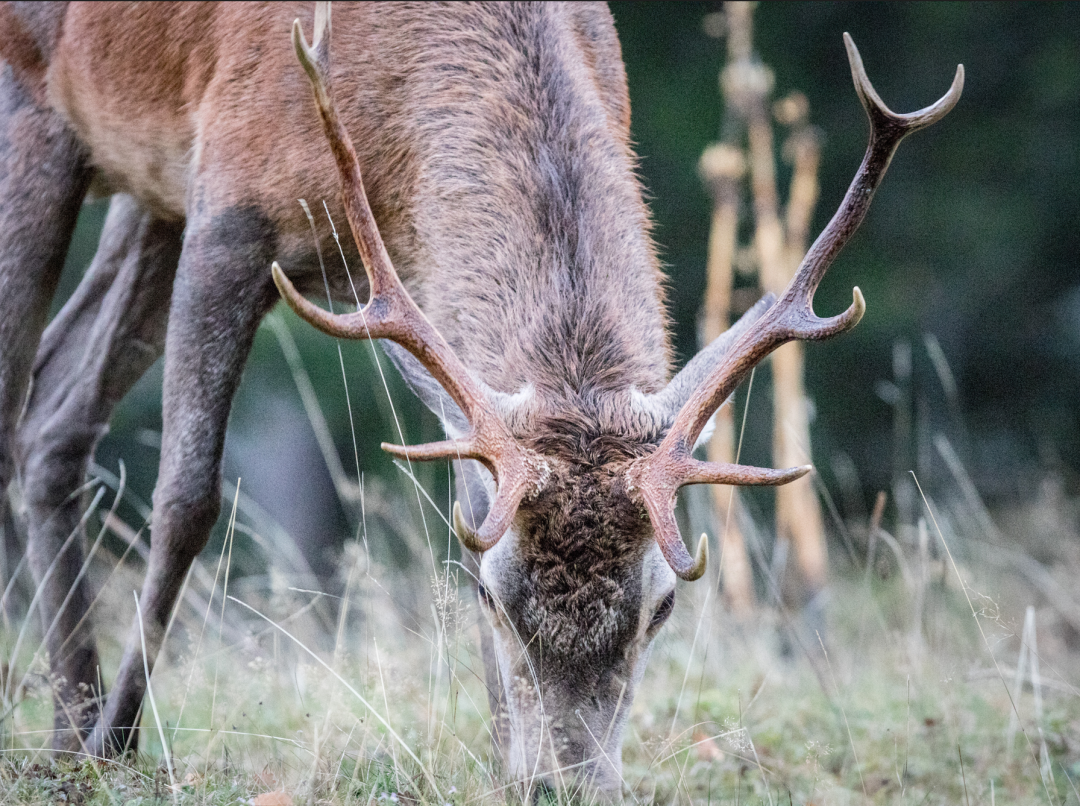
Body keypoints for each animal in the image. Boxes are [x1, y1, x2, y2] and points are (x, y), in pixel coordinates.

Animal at [0, 0, 961, 794]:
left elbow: (466, 497)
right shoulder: (231, 197)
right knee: (22, 390)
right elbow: (188, 499)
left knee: (55, 409)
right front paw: (120, 746)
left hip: (142, 190)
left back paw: (64, 733)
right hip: (39, 106)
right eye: (497, 598)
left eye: (662, 607)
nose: (567, 785)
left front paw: (500, 760)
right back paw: (89, 736)